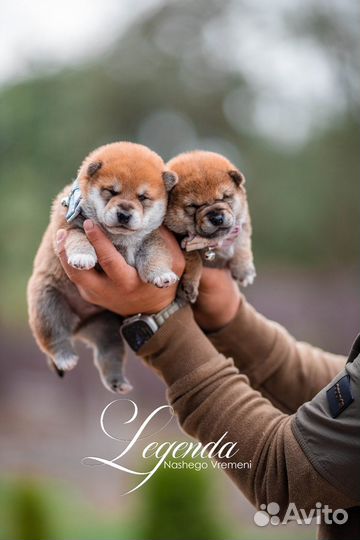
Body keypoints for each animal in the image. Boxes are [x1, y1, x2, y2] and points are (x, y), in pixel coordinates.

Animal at [27, 142, 179, 392]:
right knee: (54, 338)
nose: (124, 213)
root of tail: (79, 327)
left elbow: (155, 257)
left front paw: (162, 275)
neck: (120, 238)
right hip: (47, 305)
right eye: (111, 191)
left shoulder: (153, 239)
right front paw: (82, 258)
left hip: (106, 328)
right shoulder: (70, 228)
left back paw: (118, 383)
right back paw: (65, 358)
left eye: (143, 197)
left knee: (108, 356)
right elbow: (80, 240)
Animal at [165, 151, 255, 304]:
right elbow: (194, 257)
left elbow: (242, 243)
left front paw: (244, 269)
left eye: (225, 197)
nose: (217, 218)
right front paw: (189, 287)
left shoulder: (242, 223)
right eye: (193, 206)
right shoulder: (179, 238)